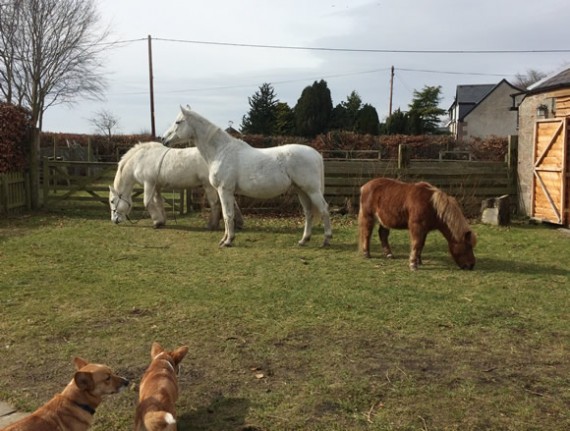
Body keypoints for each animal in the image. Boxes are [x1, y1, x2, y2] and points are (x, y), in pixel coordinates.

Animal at [108, 142, 242, 230]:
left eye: (112, 201)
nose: (114, 220)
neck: (139, 160)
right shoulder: (156, 186)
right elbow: (158, 202)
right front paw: (162, 221)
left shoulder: (148, 183)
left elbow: (147, 202)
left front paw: (157, 221)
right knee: (231, 202)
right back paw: (238, 223)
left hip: (209, 185)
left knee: (215, 203)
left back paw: (212, 225)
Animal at [160, 106, 330, 248]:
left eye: (178, 122)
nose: (163, 139)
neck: (221, 151)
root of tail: (316, 154)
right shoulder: (225, 192)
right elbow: (226, 215)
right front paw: (225, 239)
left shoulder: (225, 190)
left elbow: (228, 215)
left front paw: (228, 241)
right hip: (301, 191)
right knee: (308, 213)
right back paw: (304, 240)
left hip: (312, 190)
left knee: (324, 209)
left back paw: (326, 240)